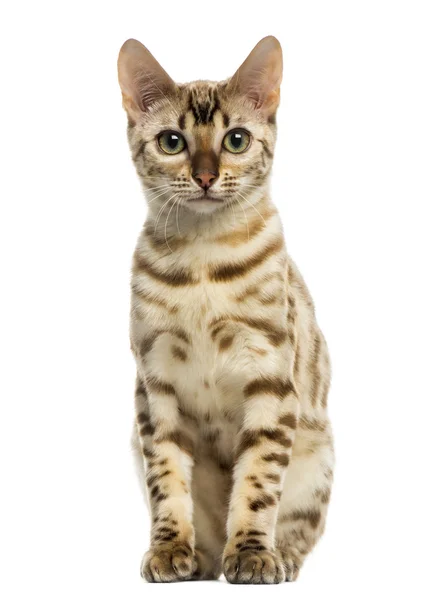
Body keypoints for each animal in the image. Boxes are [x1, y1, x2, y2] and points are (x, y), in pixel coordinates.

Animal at [116, 35, 334, 584]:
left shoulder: (269, 377)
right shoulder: (155, 386)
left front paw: (253, 554)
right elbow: (167, 482)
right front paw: (170, 550)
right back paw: (201, 561)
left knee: (298, 527)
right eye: (172, 142)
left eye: (236, 139)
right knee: (207, 541)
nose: (206, 177)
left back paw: (278, 558)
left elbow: (256, 483)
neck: (202, 262)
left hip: (318, 458)